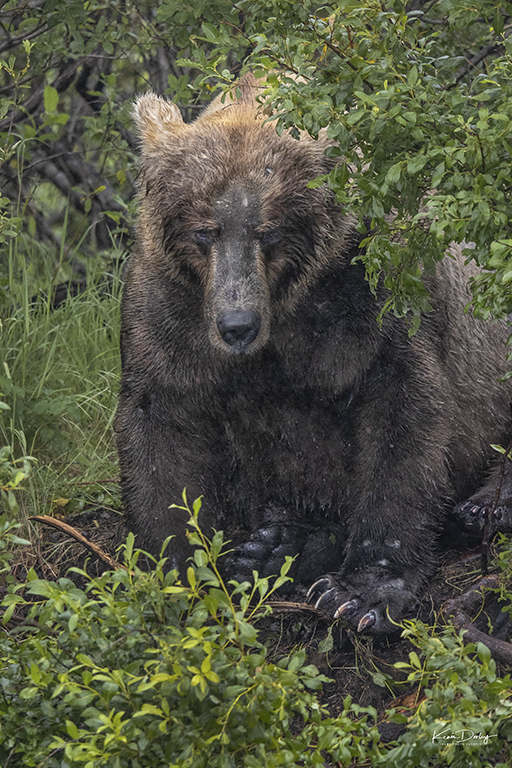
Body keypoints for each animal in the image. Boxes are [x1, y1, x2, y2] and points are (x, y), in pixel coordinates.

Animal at [116, 72, 512, 636]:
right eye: (204, 230)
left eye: (269, 231)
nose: (237, 326)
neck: (286, 307)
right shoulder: (173, 311)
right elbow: (162, 427)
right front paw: (177, 572)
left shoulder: (369, 299)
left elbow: (403, 416)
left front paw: (361, 594)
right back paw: (274, 544)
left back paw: (483, 509)